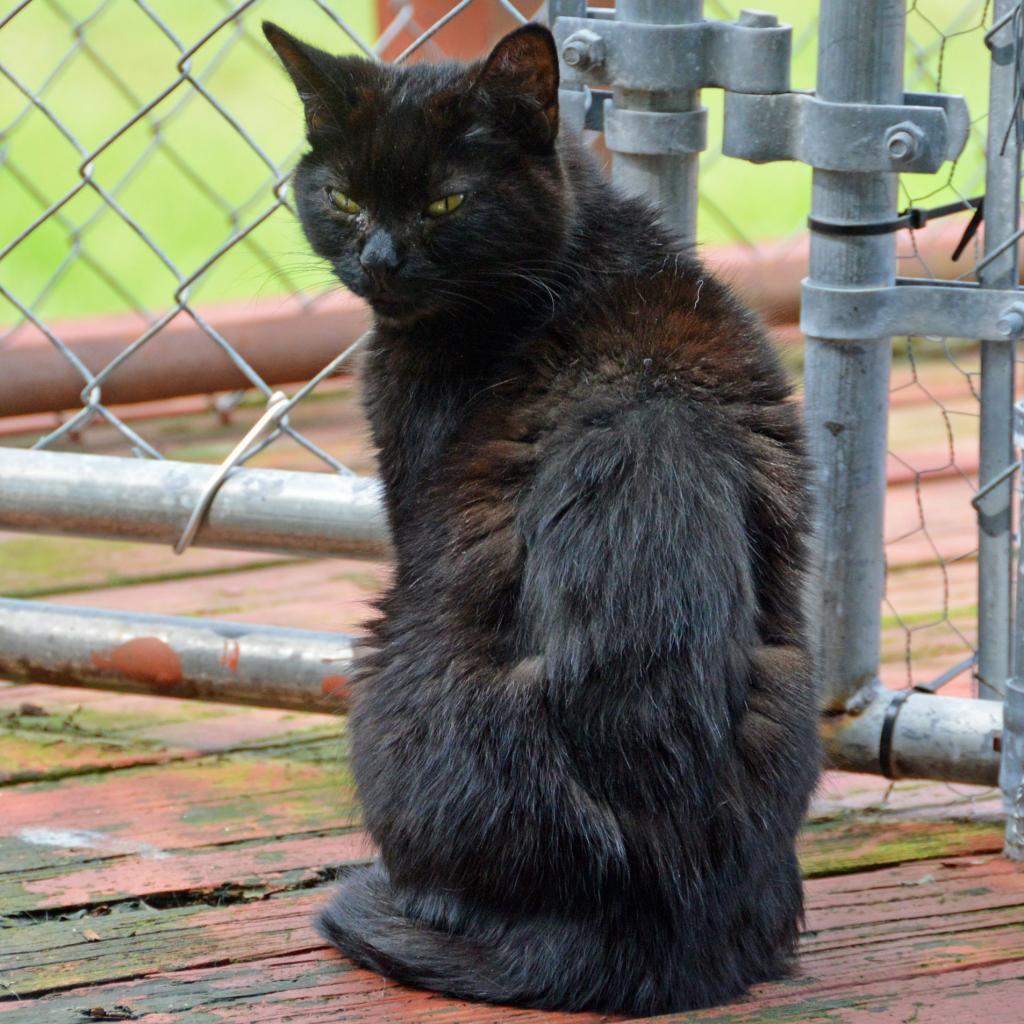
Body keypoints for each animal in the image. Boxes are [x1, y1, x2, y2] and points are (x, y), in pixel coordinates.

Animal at [266, 18, 823, 1015]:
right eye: (345, 198)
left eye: (446, 203)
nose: (380, 261)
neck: (564, 261)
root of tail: (646, 919)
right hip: (791, 682)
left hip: (382, 660)